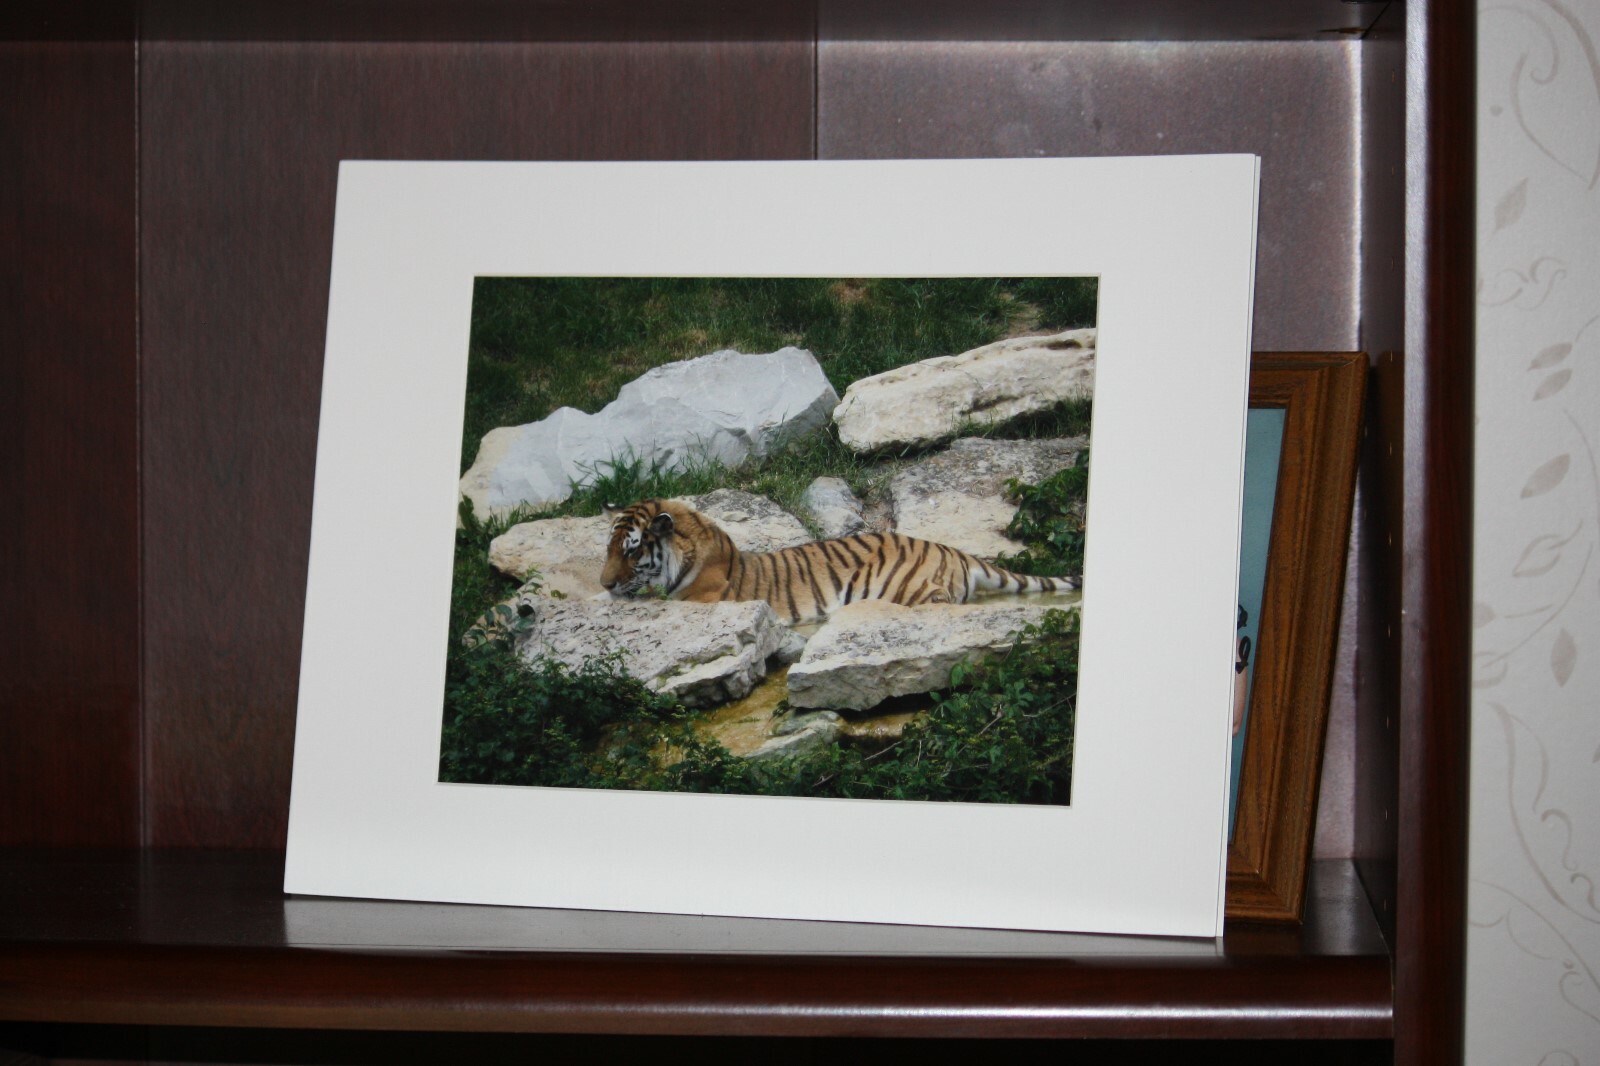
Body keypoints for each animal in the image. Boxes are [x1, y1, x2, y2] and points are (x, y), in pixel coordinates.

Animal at [600, 498, 1079, 625]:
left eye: (632, 550)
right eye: (609, 548)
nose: (604, 584)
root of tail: (952, 548)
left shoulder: (700, 600)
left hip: (910, 589)